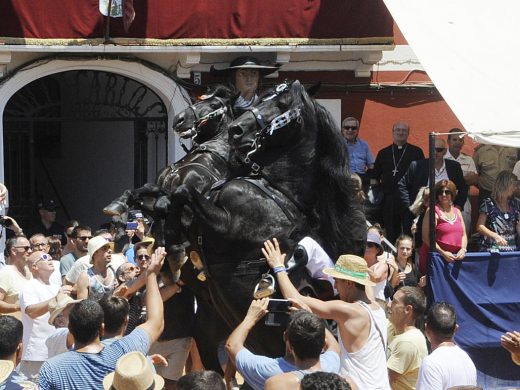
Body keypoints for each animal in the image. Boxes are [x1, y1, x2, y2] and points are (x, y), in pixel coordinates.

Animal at [171, 79, 366, 356]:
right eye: (263, 98)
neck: (276, 189)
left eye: (283, 103)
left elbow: (184, 192)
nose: (236, 130)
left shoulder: (226, 224)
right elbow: (177, 199)